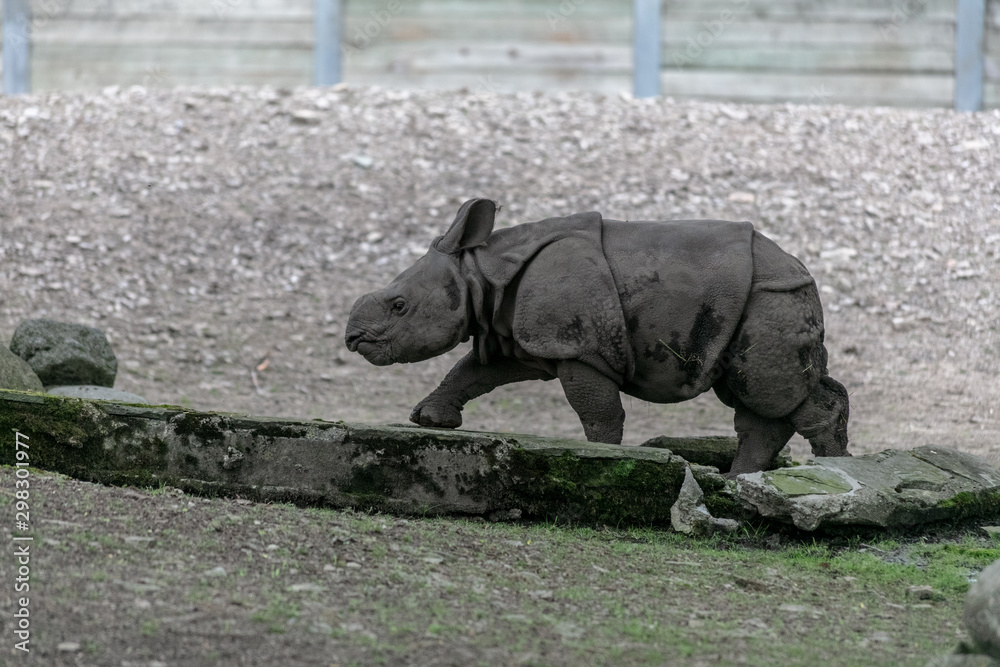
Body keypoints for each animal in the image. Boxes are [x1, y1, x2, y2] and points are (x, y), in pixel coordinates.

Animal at [345, 198, 850, 476]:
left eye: (399, 306)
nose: (353, 339)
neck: (482, 271)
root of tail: (802, 268)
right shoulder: (523, 335)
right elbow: (472, 370)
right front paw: (430, 420)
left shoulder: (578, 348)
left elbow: (598, 410)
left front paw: (600, 455)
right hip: (761, 298)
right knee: (755, 395)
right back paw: (742, 481)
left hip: (769, 296)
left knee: (766, 389)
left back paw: (830, 471)